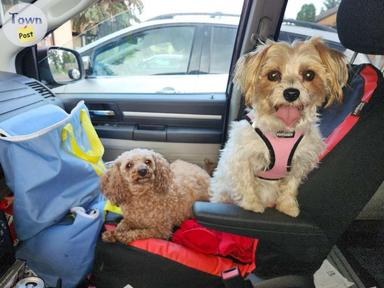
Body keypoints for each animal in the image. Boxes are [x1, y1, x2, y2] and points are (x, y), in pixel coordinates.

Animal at [210, 38, 348, 218]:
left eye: (309, 75)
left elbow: (291, 185)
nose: (291, 93)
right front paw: (252, 204)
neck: (283, 130)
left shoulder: (300, 162)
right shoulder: (242, 157)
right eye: (273, 75)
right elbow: (246, 181)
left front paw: (287, 206)